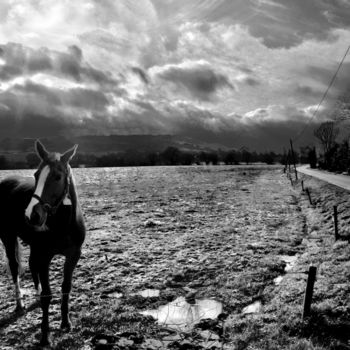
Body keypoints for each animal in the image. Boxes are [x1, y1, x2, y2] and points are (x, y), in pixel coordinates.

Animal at [0, 140, 86, 348]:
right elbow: (47, 294)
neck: (63, 224)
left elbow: (66, 287)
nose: (32, 214)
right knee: (15, 268)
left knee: (32, 266)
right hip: (8, 237)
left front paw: (65, 323)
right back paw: (20, 304)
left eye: (57, 176)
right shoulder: (45, 256)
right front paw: (45, 336)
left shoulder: (73, 255)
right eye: (36, 175)